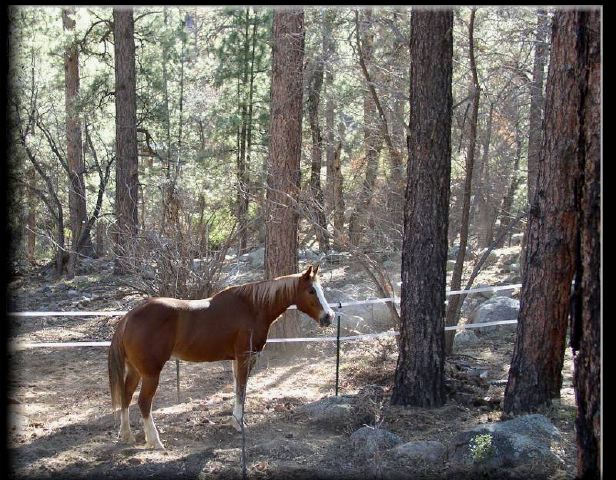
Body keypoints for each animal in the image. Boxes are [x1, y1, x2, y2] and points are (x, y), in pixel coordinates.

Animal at [108, 264, 334, 448]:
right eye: (311, 290)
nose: (329, 317)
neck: (252, 307)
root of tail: (129, 317)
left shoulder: (237, 360)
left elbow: (237, 389)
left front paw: (235, 420)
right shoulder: (245, 357)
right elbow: (242, 389)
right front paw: (239, 424)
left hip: (135, 370)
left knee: (126, 396)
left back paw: (126, 435)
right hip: (151, 373)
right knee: (144, 402)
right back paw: (154, 441)